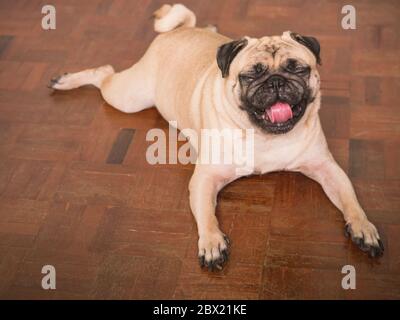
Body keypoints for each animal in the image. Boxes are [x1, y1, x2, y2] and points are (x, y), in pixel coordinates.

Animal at [50, 4, 384, 270]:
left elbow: (351, 200)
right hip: (129, 97)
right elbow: (207, 216)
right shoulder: (205, 180)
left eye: (297, 69)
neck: (264, 137)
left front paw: (363, 227)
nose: (276, 81)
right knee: (104, 72)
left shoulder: (327, 169)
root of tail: (180, 30)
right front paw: (211, 243)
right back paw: (65, 81)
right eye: (251, 75)